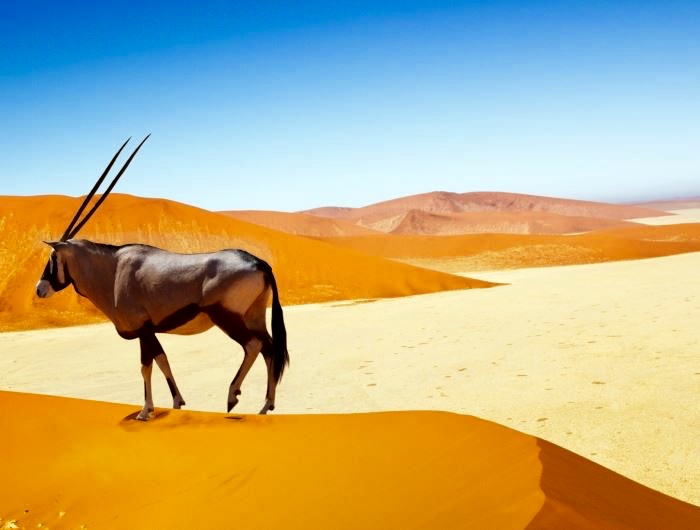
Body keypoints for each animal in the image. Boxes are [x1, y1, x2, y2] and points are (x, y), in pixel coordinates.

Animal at [34, 138, 288, 418]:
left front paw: (146, 411)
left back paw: (233, 396)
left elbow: (148, 365)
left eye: (52, 258)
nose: (39, 289)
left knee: (253, 345)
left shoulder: (143, 329)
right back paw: (266, 405)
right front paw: (176, 402)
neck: (112, 270)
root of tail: (259, 263)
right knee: (269, 347)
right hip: (254, 315)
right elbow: (162, 361)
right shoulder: (148, 331)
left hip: (227, 317)